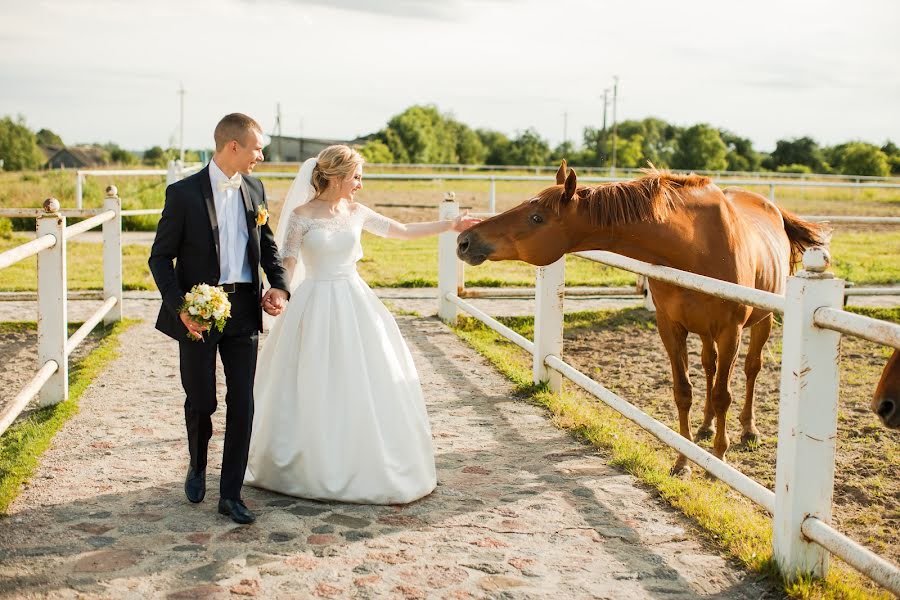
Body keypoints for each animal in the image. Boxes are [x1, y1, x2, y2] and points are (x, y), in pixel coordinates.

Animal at [458, 162, 828, 476]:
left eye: (536, 218)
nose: (465, 240)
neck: (695, 247)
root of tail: (773, 209)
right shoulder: (671, 327)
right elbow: (683, 392)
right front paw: (683, 461)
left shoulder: (730, 332)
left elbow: (724, 394)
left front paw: (717, 461)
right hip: (706, 333)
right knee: (709, 367)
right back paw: (705, 426)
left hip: (761, 323)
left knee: (751, 370)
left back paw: (748, 431)